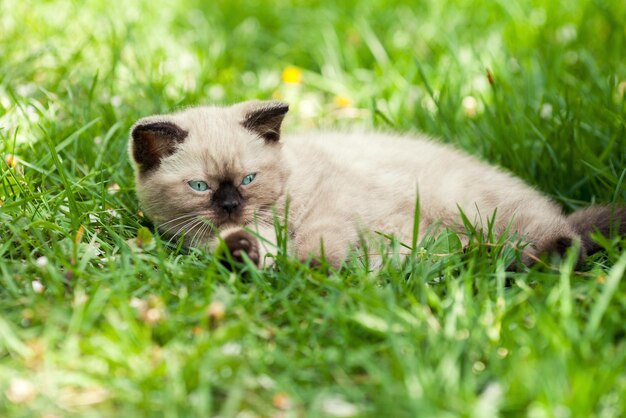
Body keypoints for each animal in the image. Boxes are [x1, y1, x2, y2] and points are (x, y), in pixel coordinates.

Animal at [128, 101, 624, 272]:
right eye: (200, 186)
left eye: (249, 178)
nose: (231, 205)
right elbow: (238, 249)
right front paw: (242, 253)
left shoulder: (330, 210)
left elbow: (317, 246)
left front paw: (310, 271)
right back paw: (476, 258)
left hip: (481, 209)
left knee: (568, 241)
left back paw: (534, 259)